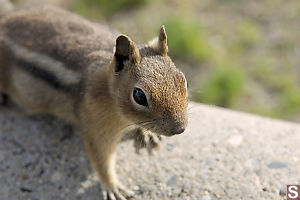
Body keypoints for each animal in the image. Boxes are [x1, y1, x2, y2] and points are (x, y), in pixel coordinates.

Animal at [0, 1, 188, 198]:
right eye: (139, 96)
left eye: (183, 79)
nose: (180, 129)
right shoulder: (95, 125)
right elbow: (101, 159)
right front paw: (112, 186)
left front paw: (147, 134)